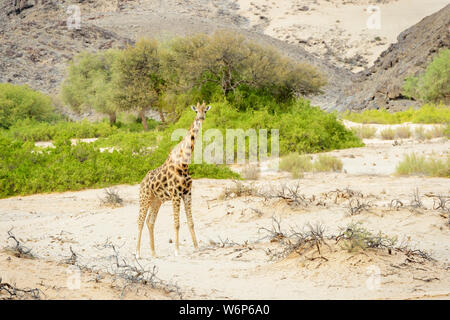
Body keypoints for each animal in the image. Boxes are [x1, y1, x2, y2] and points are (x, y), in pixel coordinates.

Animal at [135, 101, 211, 258]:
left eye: (205, 110)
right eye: (196, 111)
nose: (201, 118)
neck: (184, 163)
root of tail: (142, 181)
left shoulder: (187, 193)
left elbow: (191, 222)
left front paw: (196, 247)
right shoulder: (176, 194)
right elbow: (177, 223)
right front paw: (177, 250)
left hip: (156, 200)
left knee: (150, 221)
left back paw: (154, 253)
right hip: (144, 198)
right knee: (140, 222)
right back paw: (137, 253)